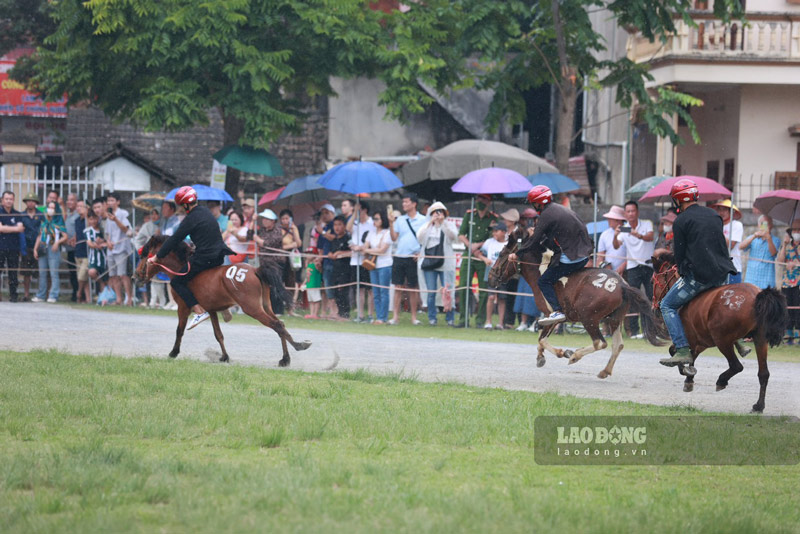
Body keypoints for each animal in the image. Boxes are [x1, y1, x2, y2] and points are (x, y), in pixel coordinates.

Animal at [134, 238, 312, 368]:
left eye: (144, 256)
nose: (135, 276)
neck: (181, 269)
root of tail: (255, 270)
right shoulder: (212, 310)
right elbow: (218, 334)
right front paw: (225, 356)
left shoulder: (183, 308)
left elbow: (179, 330)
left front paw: (173, 352)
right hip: (265, 306)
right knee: (280, 324)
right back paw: (287, 356)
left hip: (252, 308)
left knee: (276, 325)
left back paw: (295, 348)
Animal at [488, 228, 668, 378]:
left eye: (502, 254)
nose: (491, 276)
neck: (542, 270)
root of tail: (621, 285)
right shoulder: (553, 318)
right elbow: (541, 340)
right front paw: (540, 357)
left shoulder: (551, 315)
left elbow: (542, 339)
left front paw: (563, 353)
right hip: (615, 319)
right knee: (618, 345)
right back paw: (605, 371)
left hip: (589, 318)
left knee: (600, 342)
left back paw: (575, 356)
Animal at [648, 250, 788, 414]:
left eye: (652, 281)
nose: (654, 308)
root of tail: (756, 296)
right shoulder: (701, 342)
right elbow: (691, 357)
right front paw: (689, 378)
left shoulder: (690, 339)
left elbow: (676, 353)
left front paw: (685, 371)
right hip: (760, 339)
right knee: (763, 374)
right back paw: (758, 406)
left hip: (723, 340)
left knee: (736, 366)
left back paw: (722, 380)